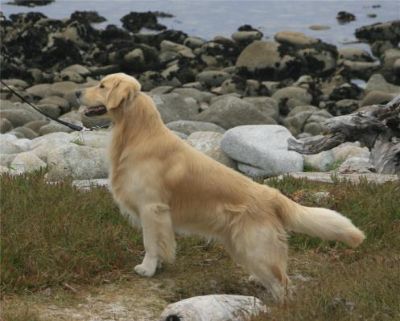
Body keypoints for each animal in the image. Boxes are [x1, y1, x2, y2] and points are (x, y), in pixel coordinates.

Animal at [78, 72, 366, 300]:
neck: (136, 132)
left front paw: (147, 269)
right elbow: (160, 243)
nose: (77, 93)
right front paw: (157, 266)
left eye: (102, 85)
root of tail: (272, 195)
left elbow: (151, 243)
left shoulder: (152, 208)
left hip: (256, 247)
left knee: (283, 283)